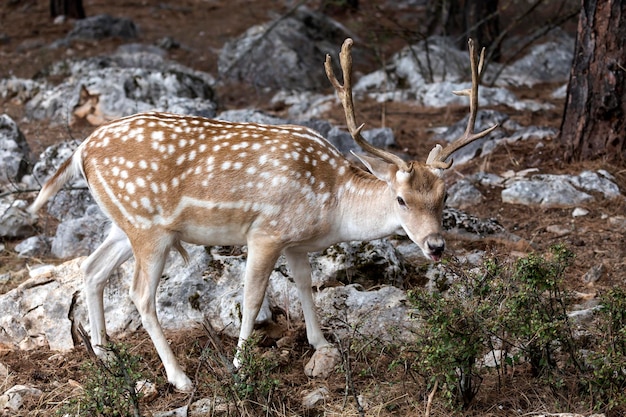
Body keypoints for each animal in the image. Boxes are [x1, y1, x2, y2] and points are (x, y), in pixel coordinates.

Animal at [28, 37, 492, 392]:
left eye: (445, 194)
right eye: (400, 199)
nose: (436, 245)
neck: (331, 205)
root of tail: (81, 150)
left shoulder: (297, 243)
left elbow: (306, 285)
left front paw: (321, 343)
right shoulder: (266, 232)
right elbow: (251, 299)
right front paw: (239, 365)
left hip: (124, 223)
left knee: (92, 269)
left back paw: (106, 356)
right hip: (148, 228)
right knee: (139, 294)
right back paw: (180, 378)